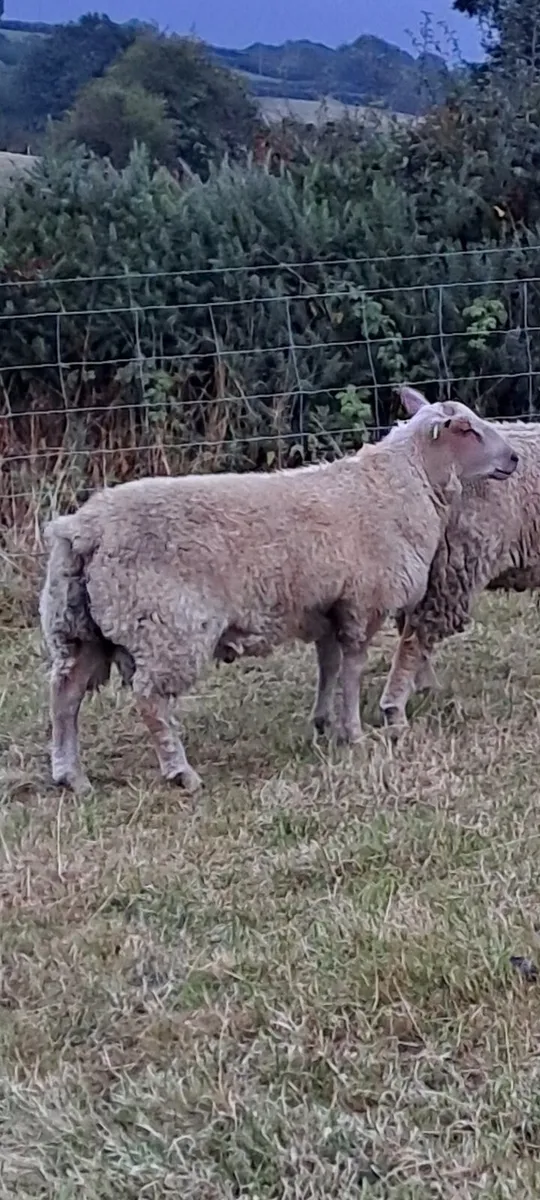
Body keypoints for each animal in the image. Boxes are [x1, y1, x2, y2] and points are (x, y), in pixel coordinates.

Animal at [39, 386, 518, 794]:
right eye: (468, 429)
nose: (513, 458)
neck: (402, 484)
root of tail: (82, 529)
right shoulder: (363, 603)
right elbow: (352, 671)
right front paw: (354, 733)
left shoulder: (327, 606)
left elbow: (329, 666)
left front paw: (324, 724)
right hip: (166, 626)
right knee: (149, 700)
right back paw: (180, 772)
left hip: (80, 626)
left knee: (65, 693)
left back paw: (71, 776)